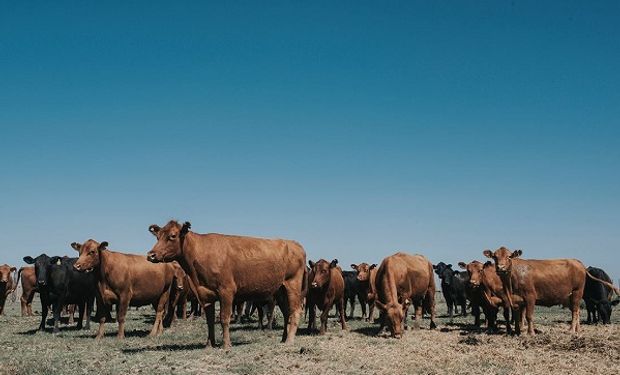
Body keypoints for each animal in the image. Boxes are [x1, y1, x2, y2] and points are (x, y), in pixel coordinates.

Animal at [148, 220, 308, 350]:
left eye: (173, 236)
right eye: (158, 236)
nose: (151, 255)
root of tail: (294, 244)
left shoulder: (226, 291)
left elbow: (224, 318)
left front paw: (226, 345)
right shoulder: (205, 295)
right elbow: (210, 320)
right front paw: (209, 344)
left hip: (292, 285)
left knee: (295, 311)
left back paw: (290, 341)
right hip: (280, 290)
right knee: (287, 313)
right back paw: (283, 339)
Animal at [484, 247, 620, 334]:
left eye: (509, 257)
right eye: (495, 257)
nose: (500, 267)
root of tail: (577, 262)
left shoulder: (530, 297)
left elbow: (528, 316)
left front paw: (531, 333)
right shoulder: (516, 300)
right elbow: (517, 316)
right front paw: (517, 332)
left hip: (577, 293)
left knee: (575, 312)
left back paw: (571, 330)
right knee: (576, 312)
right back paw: (577, 330)